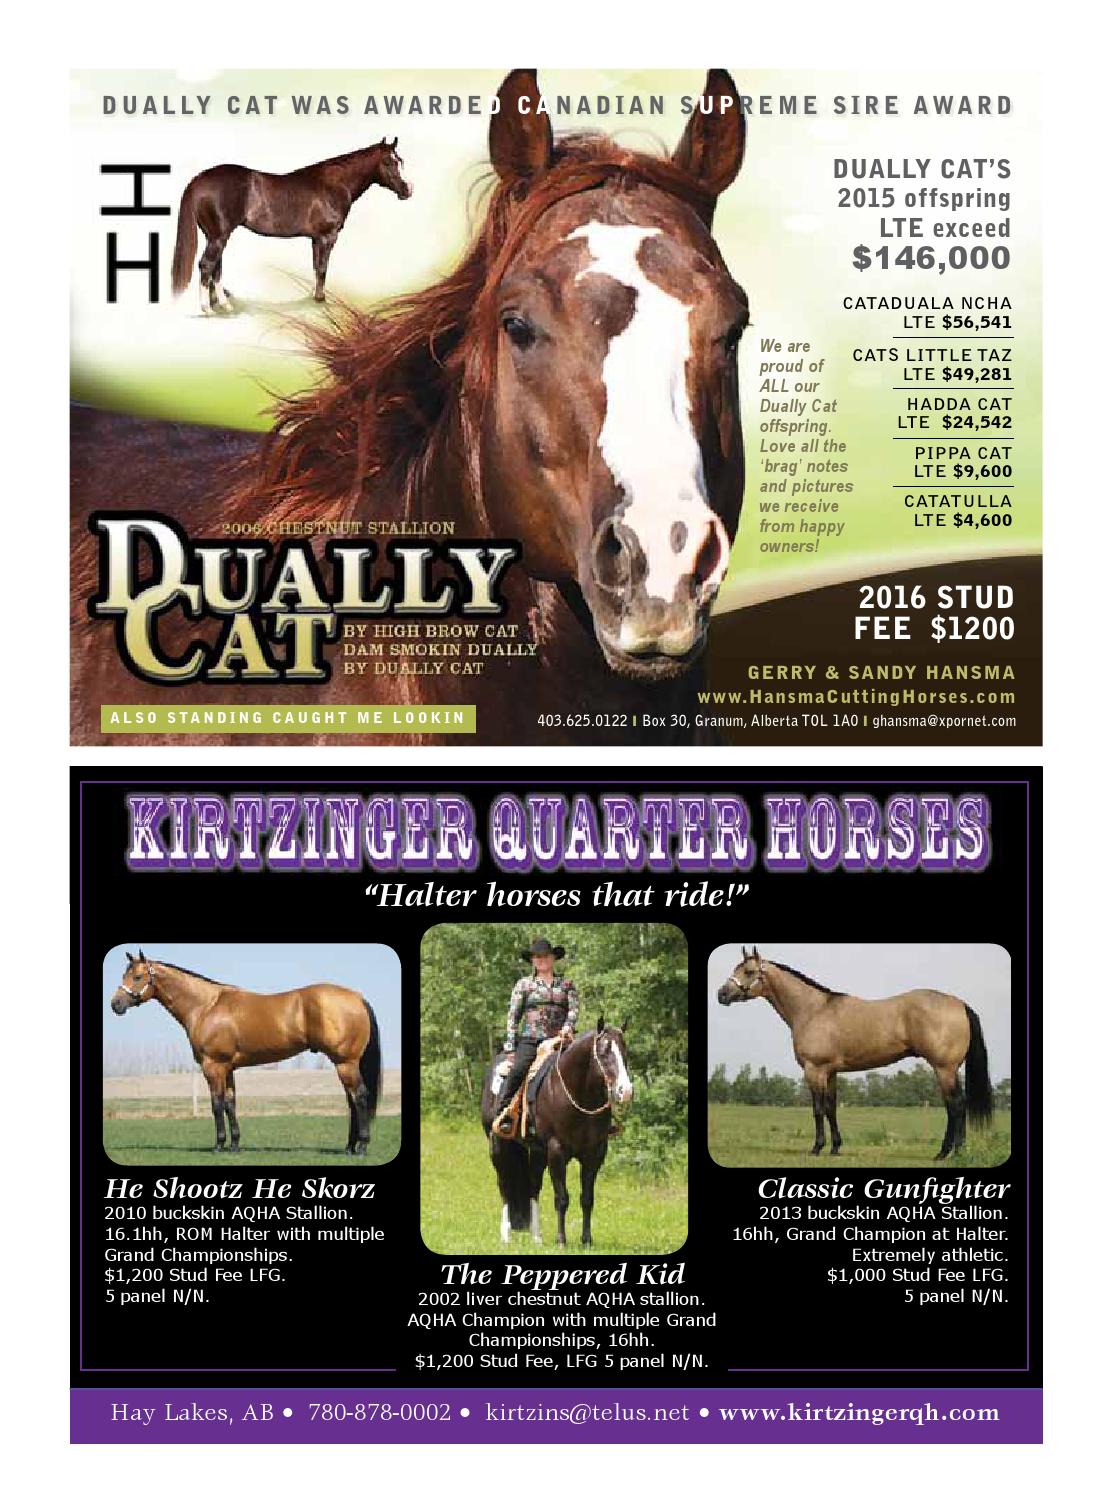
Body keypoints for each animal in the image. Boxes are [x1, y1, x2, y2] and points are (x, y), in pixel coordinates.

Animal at [109, 952, 383, 1154]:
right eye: (126, 974)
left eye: (137, 976)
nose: (115, 1004)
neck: (206, 1006)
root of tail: (357, 998)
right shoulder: (227, 1068)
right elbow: (231, 1104)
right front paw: (235, 1145)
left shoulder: (213, 1066)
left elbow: (216, 1104)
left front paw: (219, 1145)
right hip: (344, 1064)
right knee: (351, 1101)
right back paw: (349, 1147)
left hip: (345, 1063)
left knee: (359, 1097)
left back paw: (361, 1147)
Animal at [171, 138, 412, 311]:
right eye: (389, 162)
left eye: (400, 160)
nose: (408, 190)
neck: (333, 184)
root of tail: (198, 181)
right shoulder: (328, 236)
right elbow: (323, 267)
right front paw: (320, 299)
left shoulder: (316, 239)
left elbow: (316, 266)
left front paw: (313, 296)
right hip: (219, 236)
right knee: (206, 265)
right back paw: (207, 308)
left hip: (215, 236)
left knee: (216, 267)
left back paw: (223, 304)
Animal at [481, 1020, 633, 1247]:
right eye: (603, 1051)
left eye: (624, 1050)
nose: (626, 1091)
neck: (577, 1094)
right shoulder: (557, 1151)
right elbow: (561, 1198)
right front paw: (561, 1240)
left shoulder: (594, 1153)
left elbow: (587, 1199)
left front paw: (586, 1240)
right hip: (498, 1145)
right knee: (505, 1186)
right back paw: (506, 1236)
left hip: (537, 1152)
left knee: (533, 1188)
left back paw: (537, 1237)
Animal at [716, 950, 993, 1160]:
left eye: (748, 971)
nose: (722, 994)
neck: (813, 1010)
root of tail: (959, 1004)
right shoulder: (830, 1072)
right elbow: (831, 1108)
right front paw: (835, 1148)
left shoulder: (814, 1069)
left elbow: (817, 1109)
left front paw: (816, 1148)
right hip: (950, 1069)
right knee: (959, 1105)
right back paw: (957, 1151)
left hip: (944, 1068)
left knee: (955, 1106)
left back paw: (947, 1153)